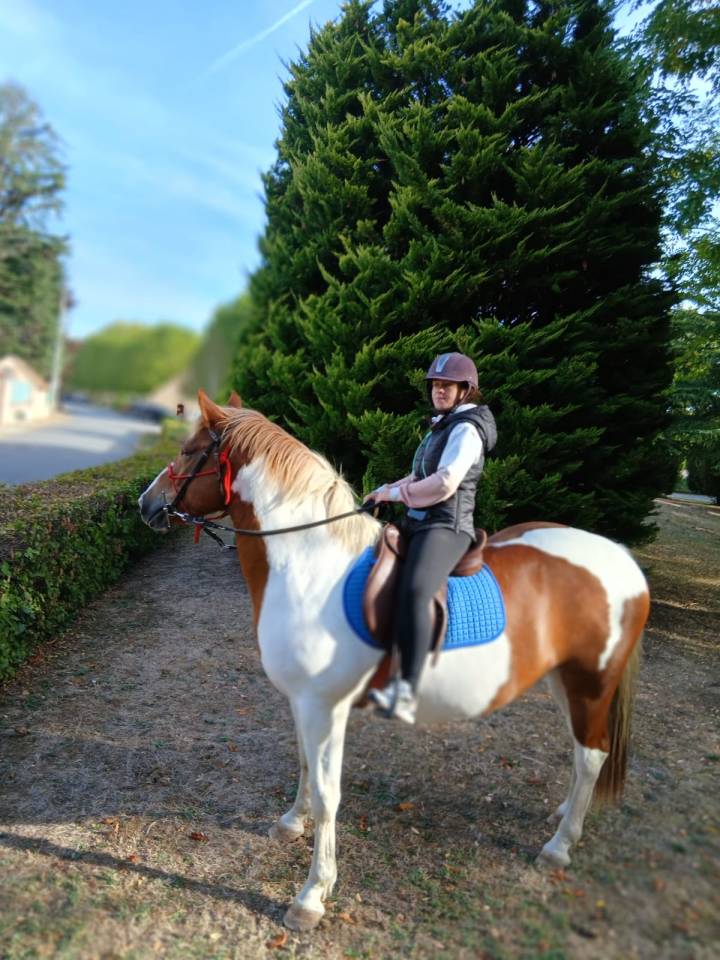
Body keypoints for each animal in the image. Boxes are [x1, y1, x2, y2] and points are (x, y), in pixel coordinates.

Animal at [138, 389, 649, 932]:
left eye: (190, 450)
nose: (144, 504)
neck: (310, 566)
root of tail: (620, 557)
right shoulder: (303, 702)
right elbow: (304, 765)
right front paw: (292, 823)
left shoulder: (325, 707)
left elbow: (328, 794)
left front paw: (312, 895)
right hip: (562, 681)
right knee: (580, 753)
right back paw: (563, 814)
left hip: (591, 682)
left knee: (592, 754)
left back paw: (558, 846)